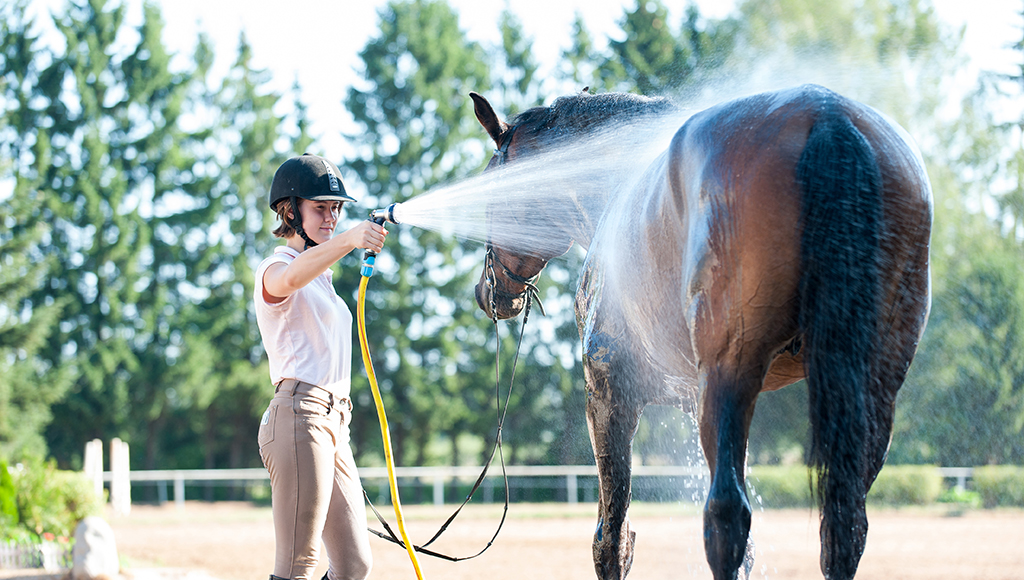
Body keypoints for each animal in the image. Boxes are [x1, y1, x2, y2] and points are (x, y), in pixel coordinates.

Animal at [468, 84, 932, 580]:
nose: (487, 292)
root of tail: (827, 114)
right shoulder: (694, 401)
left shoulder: (609, 393)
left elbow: (611, 541)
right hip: (869, 389)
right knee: (843, 525)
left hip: (732, 371)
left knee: (726, 514)